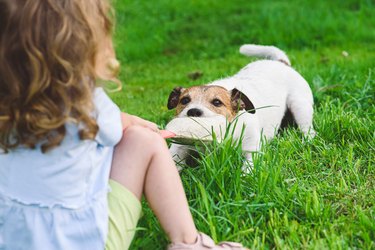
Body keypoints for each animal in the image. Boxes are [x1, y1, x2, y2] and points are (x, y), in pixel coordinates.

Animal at [166, 44, 316, 171]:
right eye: (184, 100)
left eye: (217, 102)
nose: (193, 111)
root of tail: (280, 63)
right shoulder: (178, 147)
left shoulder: (252, 148)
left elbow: (248, 167)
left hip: (300, 106)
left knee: (307, 129)